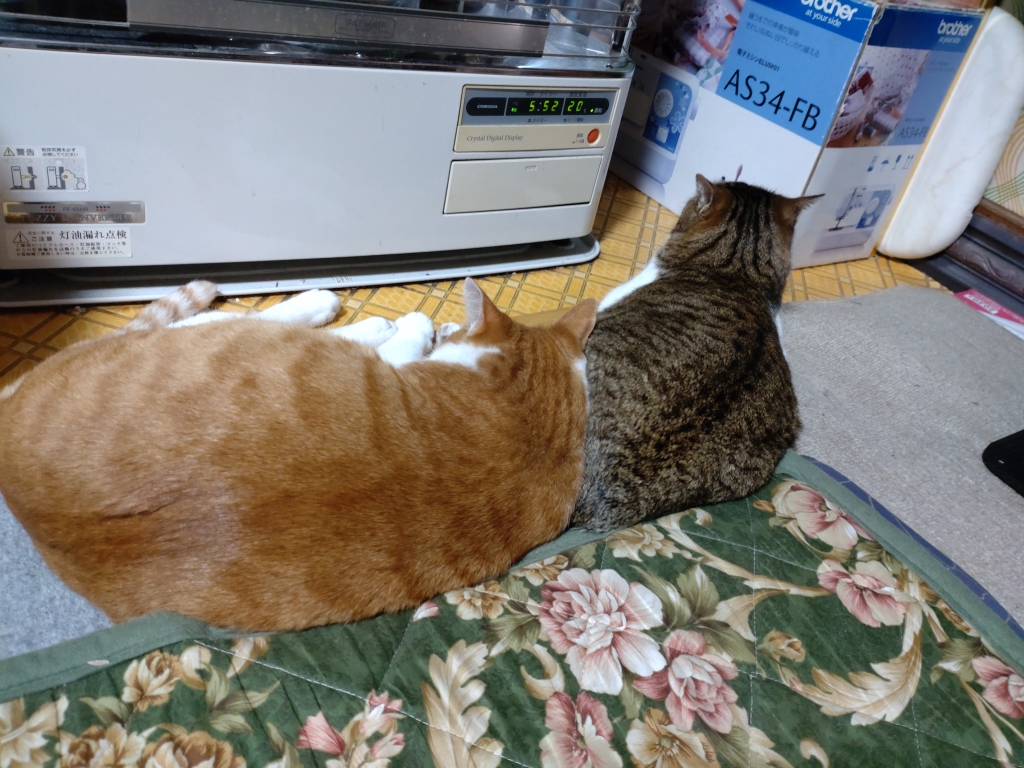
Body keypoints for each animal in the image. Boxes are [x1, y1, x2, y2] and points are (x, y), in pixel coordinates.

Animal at [0, 280, 597, 631]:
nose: (448, 326)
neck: (530, 425)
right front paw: (429, 325)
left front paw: (421, 326)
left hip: (213, 341)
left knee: (208, 321)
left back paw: (334, 308)